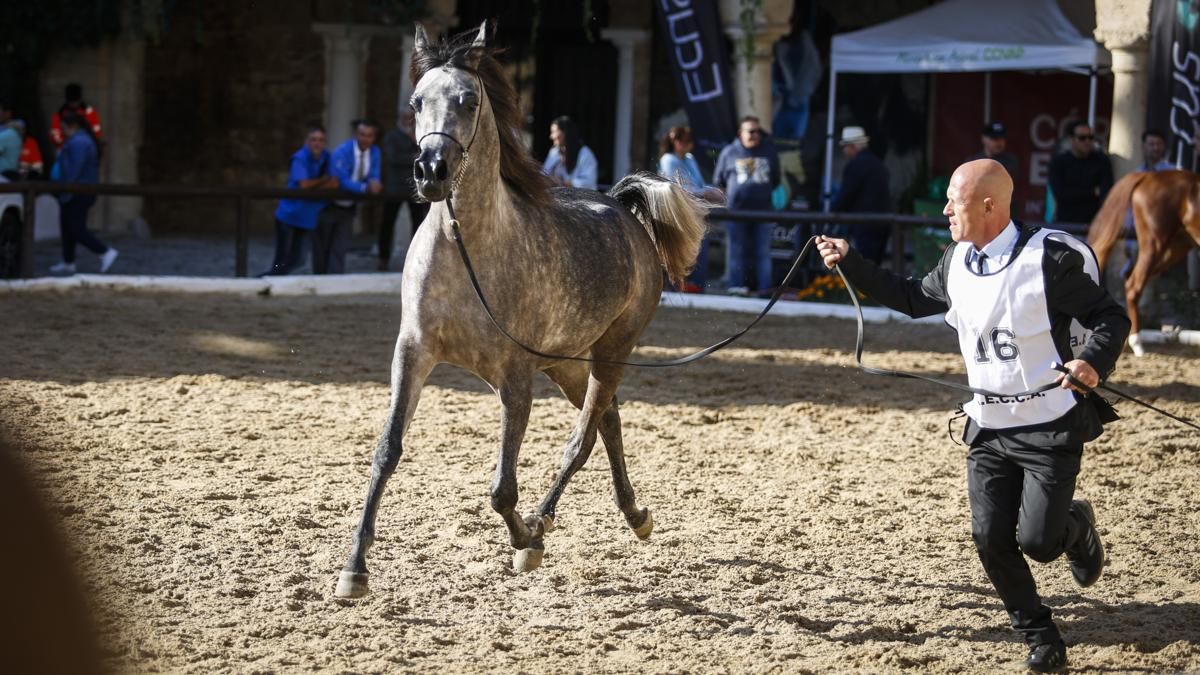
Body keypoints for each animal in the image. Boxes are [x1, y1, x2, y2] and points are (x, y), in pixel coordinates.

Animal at [334, 23, 708, 598]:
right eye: (416, 102)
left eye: (467, 101)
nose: (431, 170)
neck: (466, 252)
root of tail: (624, 209)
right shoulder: (413, 353)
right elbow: (387, 451)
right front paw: (354, 568)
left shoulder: (514, 379)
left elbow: (502, 489)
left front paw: (526, 543)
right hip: (565, 363)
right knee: (609, 420)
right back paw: (632, 515)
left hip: (611, 352)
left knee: (582, 437)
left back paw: (549, 520)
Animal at [1087, 169, 1200, 356]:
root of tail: (1148, 175)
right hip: (1155, 244)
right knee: (1134, 285)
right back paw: (1137, 343)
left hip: (1175, 248)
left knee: (1130, 281)